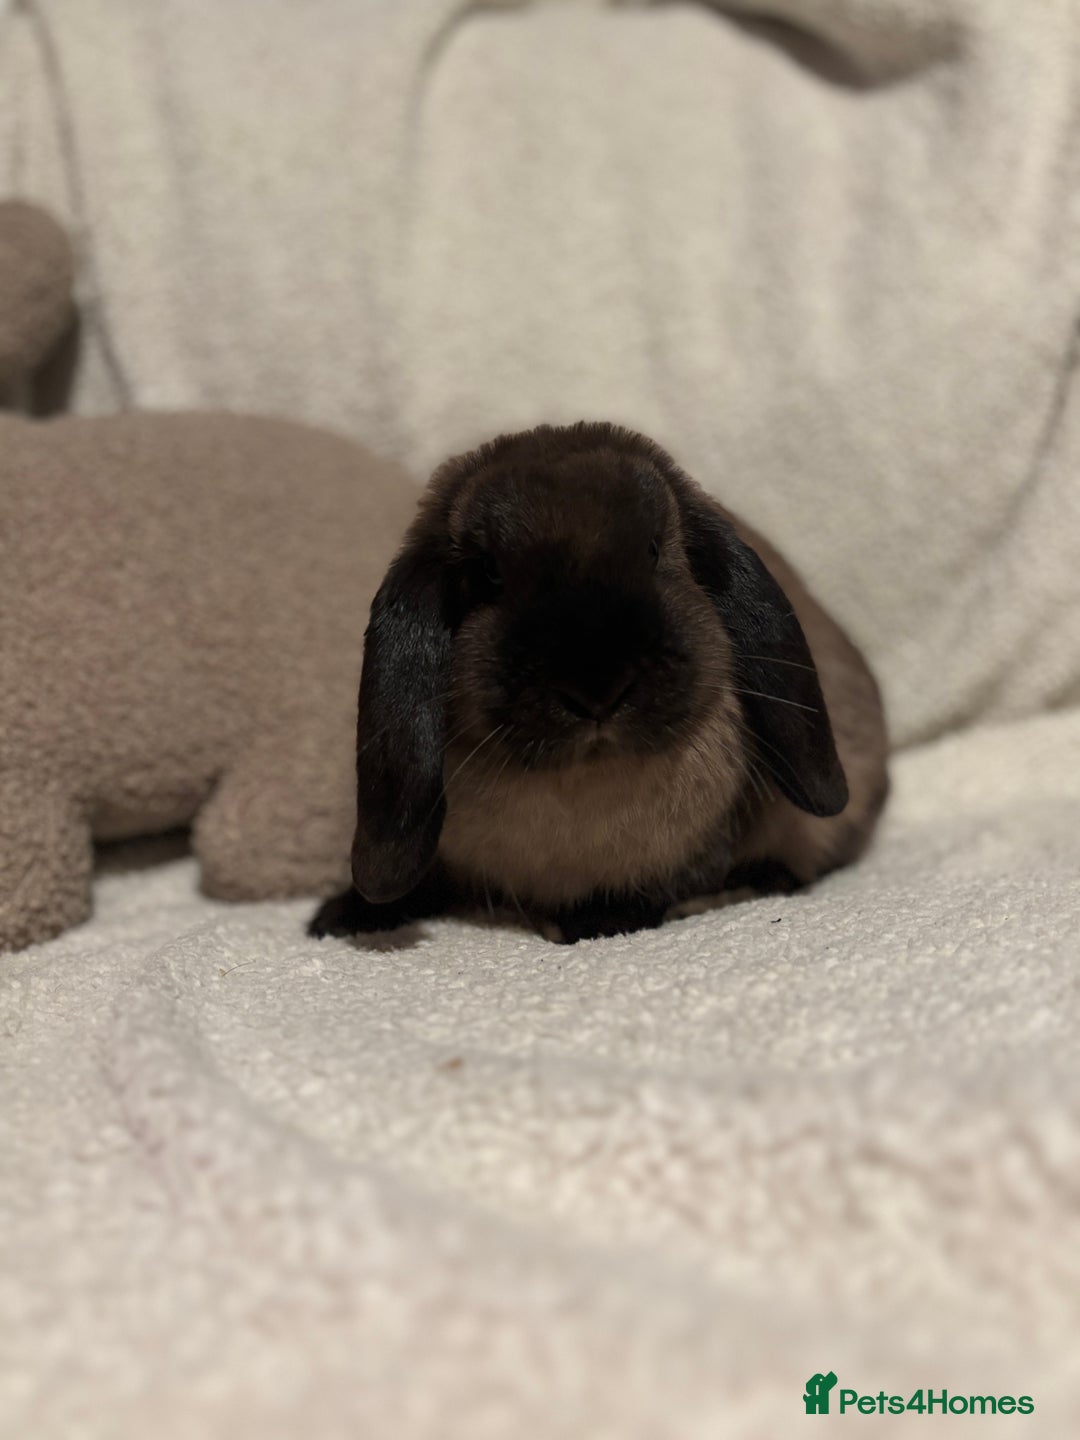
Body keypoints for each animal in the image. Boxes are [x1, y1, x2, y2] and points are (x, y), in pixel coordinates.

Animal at [309, 421, 888, 944]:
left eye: (654, 551)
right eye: (489, 573)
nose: (598, 690)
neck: (580, 787)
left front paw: (599, 922)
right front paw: (341, 918)